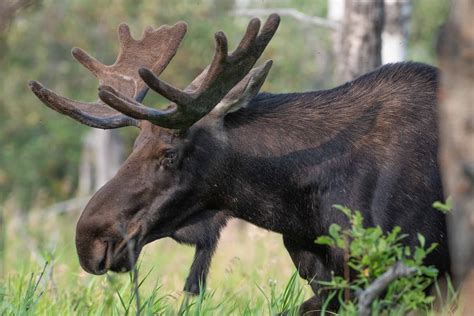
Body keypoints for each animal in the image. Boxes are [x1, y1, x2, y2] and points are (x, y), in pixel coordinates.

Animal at [27, 14, 450, 314]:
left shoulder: (407, 269)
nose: (89, 239)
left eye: (169, 154)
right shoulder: (326, 278)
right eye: (134, 146)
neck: (299, 209)